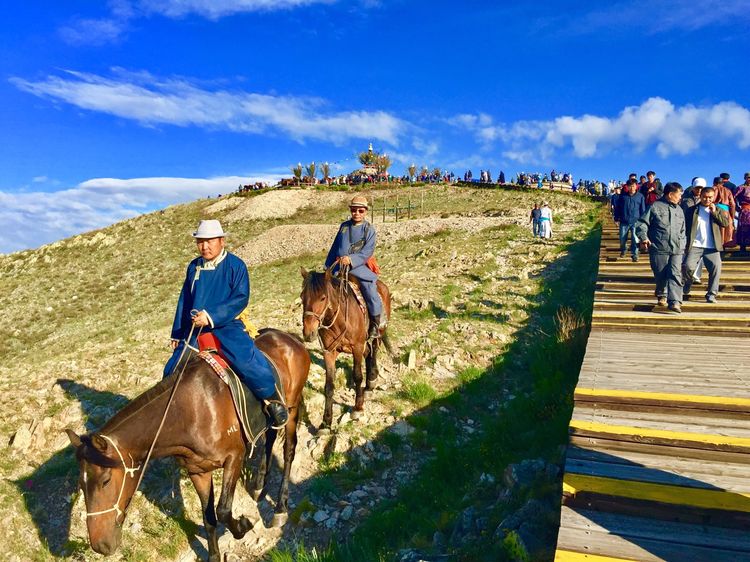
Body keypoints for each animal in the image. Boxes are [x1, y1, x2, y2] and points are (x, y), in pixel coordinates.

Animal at [65, 326, 312, 560]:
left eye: (105, 481)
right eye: (80, 486)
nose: (100, 545)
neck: (190, 412)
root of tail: (288, 337)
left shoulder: (234, 457)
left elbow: (223, 510)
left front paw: (242, 526)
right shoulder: (197, 471)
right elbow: (209, 516)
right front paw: (214, 555)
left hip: (291, 409)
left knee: (288, 451)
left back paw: (280, 508)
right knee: (269, 439)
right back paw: (260, 484)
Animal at [300, 266, 394, 424]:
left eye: (323, 298)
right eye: (302, 297)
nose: (308, 333)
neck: (339, 321)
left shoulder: (357, 347)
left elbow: (357, 376)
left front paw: (357, 407)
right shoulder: (329, 352)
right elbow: (329, 385)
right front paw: (326, 421)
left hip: (378, 333)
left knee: (374, 350)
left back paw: (371, 380)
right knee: (369, 353)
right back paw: (368, 385)